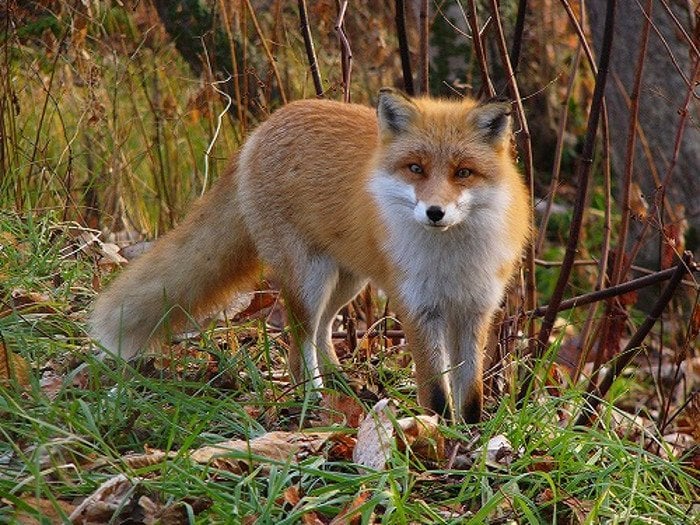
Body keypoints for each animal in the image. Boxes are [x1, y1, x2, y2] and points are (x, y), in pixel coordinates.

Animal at [90, 88, 530, 423]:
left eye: (463, 172)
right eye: (415, 168)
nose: (434, 212)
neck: (451, 259)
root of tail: (262, 129)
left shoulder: (475, 310)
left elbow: (470, 391)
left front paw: (472, 436)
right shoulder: (418, 308)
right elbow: (437, 393)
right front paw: (440, 436)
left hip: (347, 280)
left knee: (322, 330)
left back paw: (342, 386)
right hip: (309, 279)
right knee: (298, 342)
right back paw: (314, 401)